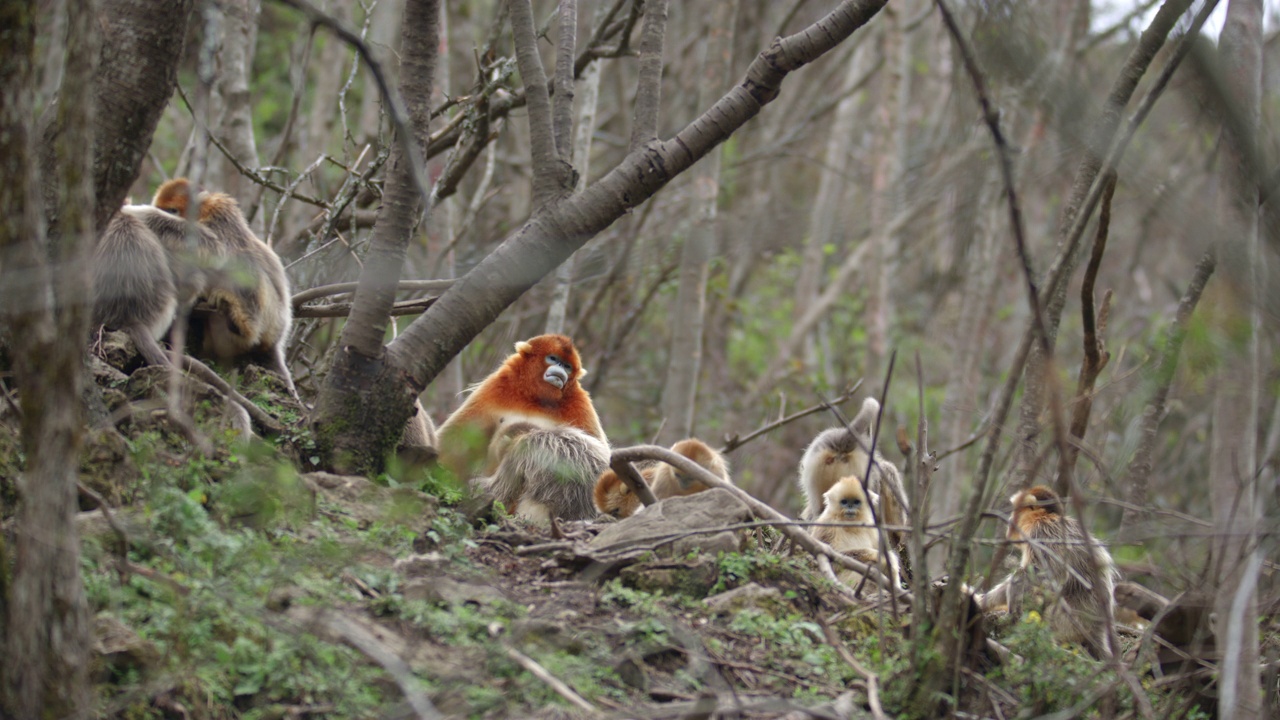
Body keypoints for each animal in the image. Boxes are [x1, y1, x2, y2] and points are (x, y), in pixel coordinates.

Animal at [151, 175, 295, 394]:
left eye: (171, 211)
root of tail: (276, 339)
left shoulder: (219, 213)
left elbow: (216, 248)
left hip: (270, 316)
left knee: (242, 261)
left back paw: (237, 322)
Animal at [977, 481, 1121, 655]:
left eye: (1016, 512)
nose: (1010, 520)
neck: (1045, 516)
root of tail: (1097, 628)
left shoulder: (1042, 533)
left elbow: (1044, 576)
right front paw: (981, 600)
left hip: (1065, 621)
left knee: (1023, 577)